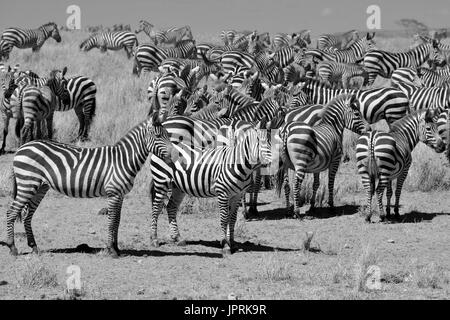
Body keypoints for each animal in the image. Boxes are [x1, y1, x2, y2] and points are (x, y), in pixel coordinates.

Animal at [3, 112, 176, 258]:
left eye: (167, 135)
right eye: (159, 135)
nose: (175, 156)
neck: (123, 159)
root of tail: (21, 148)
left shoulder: (120, 194)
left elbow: (117, 221)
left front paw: (117, 248)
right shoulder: (113, 193)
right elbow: (112, 221)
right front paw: (111, 250)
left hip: (39, 187)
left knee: (27, 215)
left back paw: (34, 247)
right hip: (27, 184)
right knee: (11, 212)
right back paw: (13, 248)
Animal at [149, 119, 272, 254]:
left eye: (271, 140)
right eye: (259, 141)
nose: (270, 161)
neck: (239, 166)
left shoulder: (238, 195)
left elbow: (232, 218)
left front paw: (232, 243)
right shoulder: (222, 193)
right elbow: (224, 218)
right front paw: (225, 245)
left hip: (178, 187)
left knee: (171, 207)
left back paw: (177, 238)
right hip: (161, 181)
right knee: (156, 208)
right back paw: (154, 239)